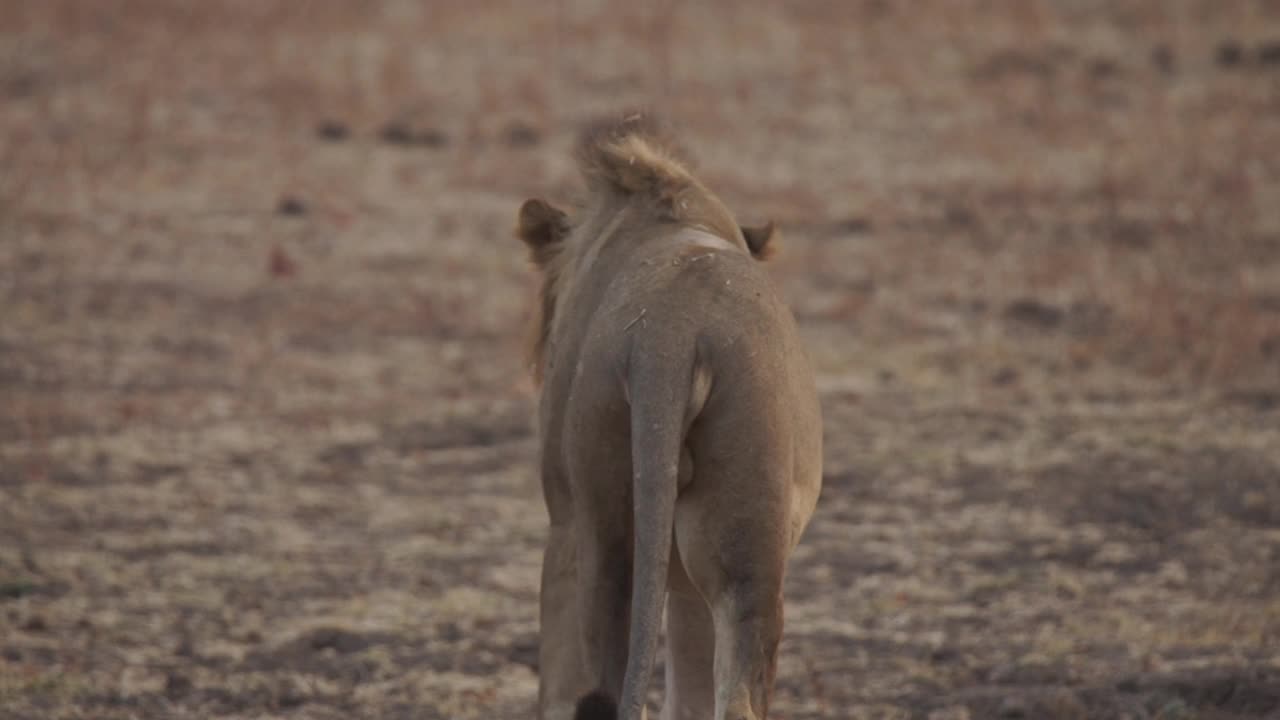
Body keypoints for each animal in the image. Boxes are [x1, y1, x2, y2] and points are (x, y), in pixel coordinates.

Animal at [517, 112, 824, 717]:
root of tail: (670, 333)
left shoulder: (566, 515)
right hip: (740, 546)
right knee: (734, 694)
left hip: (597, 526)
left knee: (590, 684)